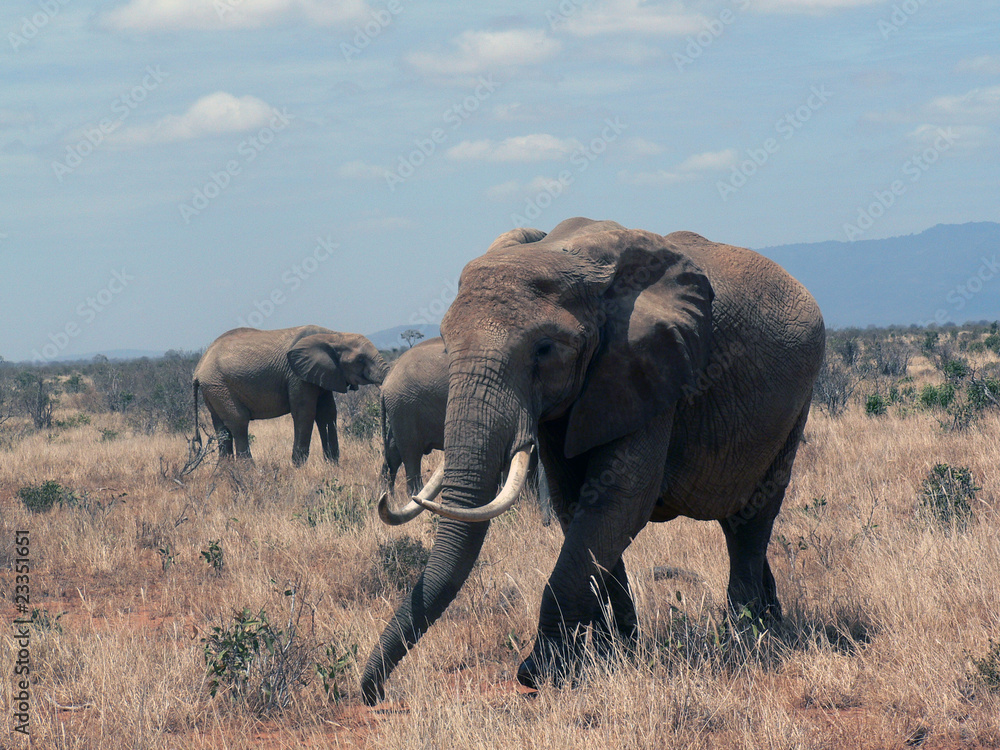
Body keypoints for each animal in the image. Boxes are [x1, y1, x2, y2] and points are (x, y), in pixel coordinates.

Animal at [193, 328, 388, 468]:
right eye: (360, 360)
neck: (333, 335)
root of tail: (198, 369)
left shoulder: (325, 374)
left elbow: (327, 414)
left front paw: (333, 465)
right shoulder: (297, 376)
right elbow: (305, 413)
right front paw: (298, 467)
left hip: (214, 389)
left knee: (222, 427)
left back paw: (224, 473)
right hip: (219, 386)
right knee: (239, 422)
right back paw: (249, 471)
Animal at [364, 217, 824, 704]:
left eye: (544, 349)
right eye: (448, 346)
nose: (374, 693)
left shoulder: (652, 371)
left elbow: (617, 502)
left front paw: (540, 673)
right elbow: (579, 509)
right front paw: (614, 656)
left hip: (796, 402)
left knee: (752, 518)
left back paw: (744, 637)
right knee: (738, 522)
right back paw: (770, 624)